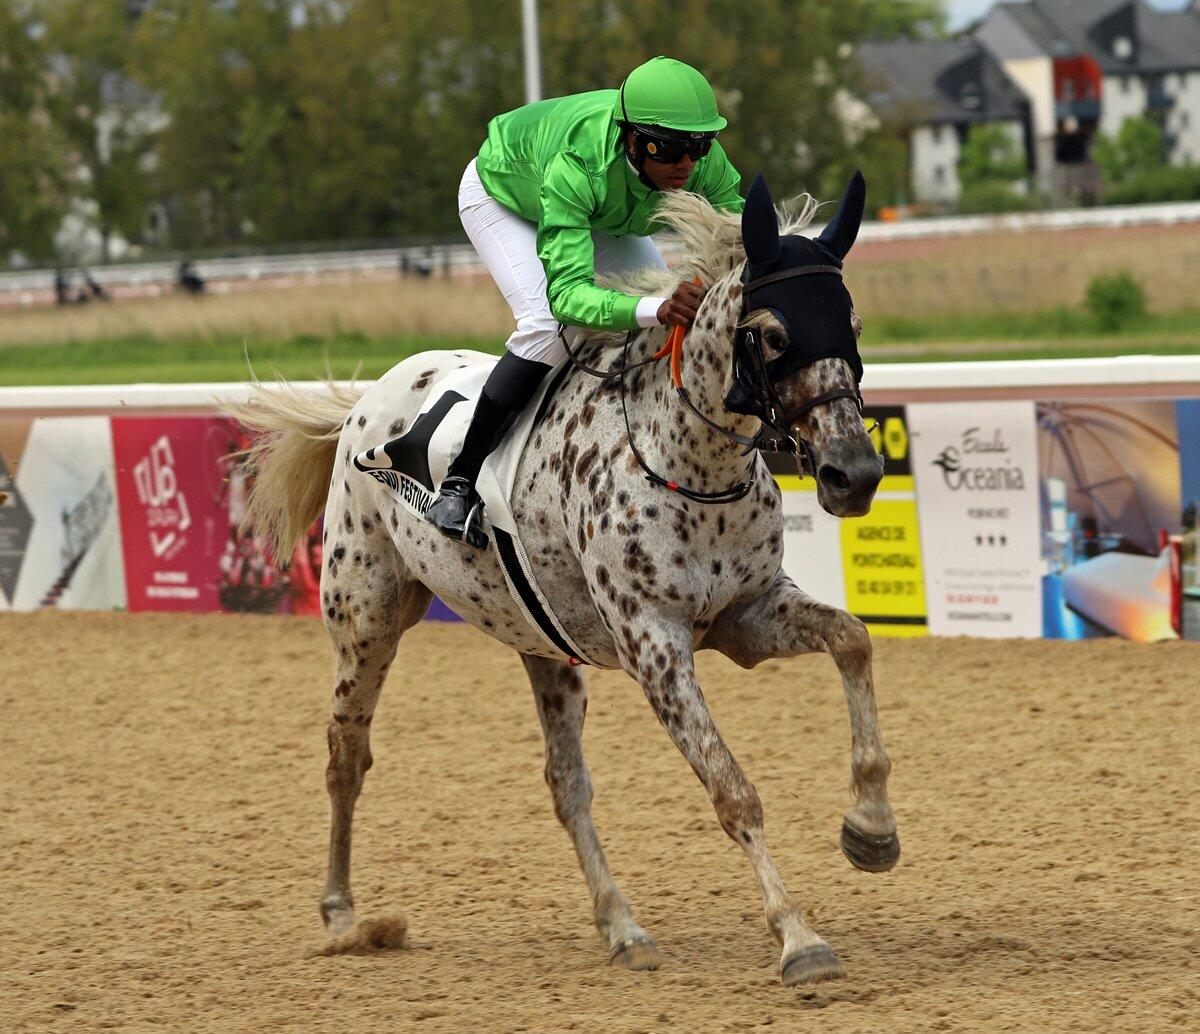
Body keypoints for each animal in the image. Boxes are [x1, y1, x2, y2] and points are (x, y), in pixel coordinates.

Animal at [233, 172, 899, 987]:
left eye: (853, 325)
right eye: (774, 335)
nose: (854, 474)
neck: (687, 461)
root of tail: (365, 401)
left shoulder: (747, 614)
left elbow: (854, 639)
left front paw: (870, 829)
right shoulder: (655, 648)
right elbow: (732, 790)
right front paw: (799, 938)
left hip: (542, 645)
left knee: (565, 784)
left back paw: (623, 926)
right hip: (365, 620)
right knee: (345, 755)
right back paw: (342, 915)